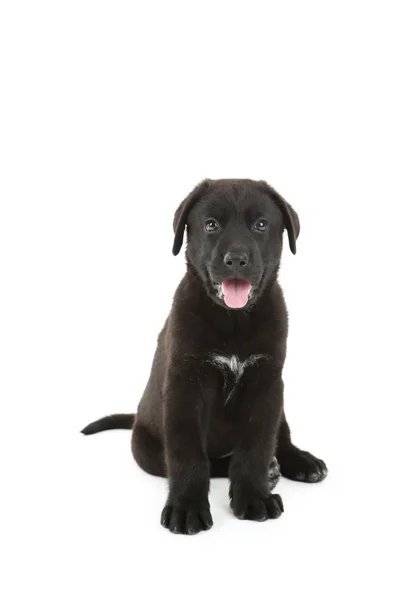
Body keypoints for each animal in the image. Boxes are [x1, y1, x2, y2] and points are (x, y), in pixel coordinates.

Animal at [82, 178, 328, 536]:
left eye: (261, 225)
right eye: (211, 225)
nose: (236, 259)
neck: (234, 322)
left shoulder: (267, 384)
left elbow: (258, 444)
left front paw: (254, 496)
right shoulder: (186, 387)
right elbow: (189, 455)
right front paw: (186, 508)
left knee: (279, 438)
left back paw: (300, 462)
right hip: (146, 450)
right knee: (210, 463)